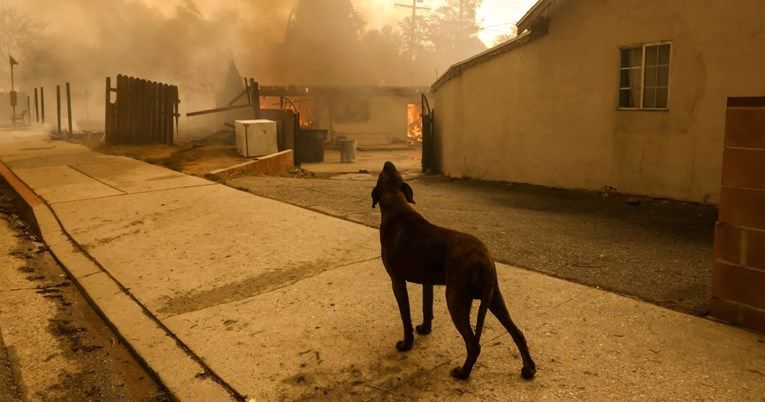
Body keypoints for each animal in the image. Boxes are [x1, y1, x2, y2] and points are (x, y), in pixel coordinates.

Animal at [372, 161, 536, 380]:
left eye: (382, 174)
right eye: (393, 172)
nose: (387, 163)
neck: (397, 207)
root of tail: (483, 258)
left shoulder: (397, 281)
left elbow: (406, 317)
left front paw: (406, 344)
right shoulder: (427, 282)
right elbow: (426, 308)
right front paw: (424, 329)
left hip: (455, 299)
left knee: (474, 344)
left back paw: (463, 372)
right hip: (494, 298)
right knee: (518, 333)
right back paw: (528, 368)